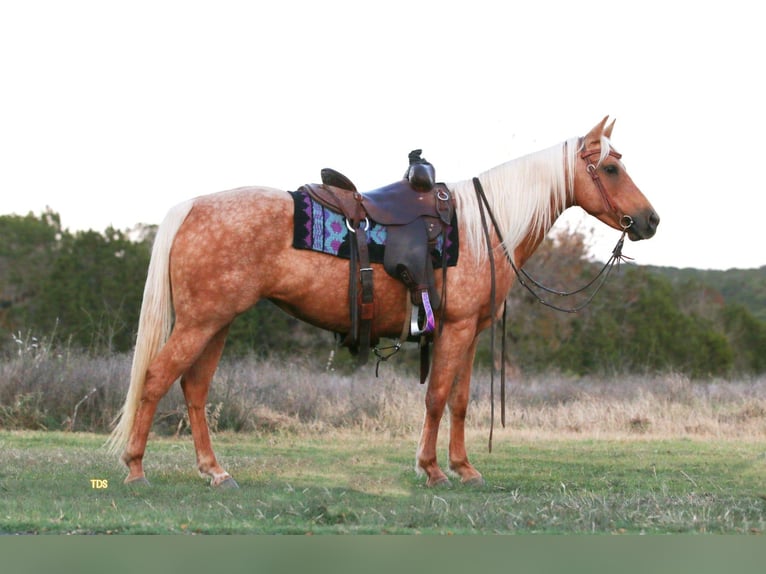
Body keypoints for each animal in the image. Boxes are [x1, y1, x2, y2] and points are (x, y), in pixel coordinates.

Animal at [107, 116, 659, 488]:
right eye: (611, 168)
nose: (651, 221)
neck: (483, 226)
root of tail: (192, 206)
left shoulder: (468, 332)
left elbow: (460, 401)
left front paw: (464, 467)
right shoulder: (456, 328)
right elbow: (436, 398)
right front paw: (432, 469)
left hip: (216, 323)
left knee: (194, 389)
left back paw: (214, 471)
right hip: (201, 322)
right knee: (157, 378)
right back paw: (135, 468)